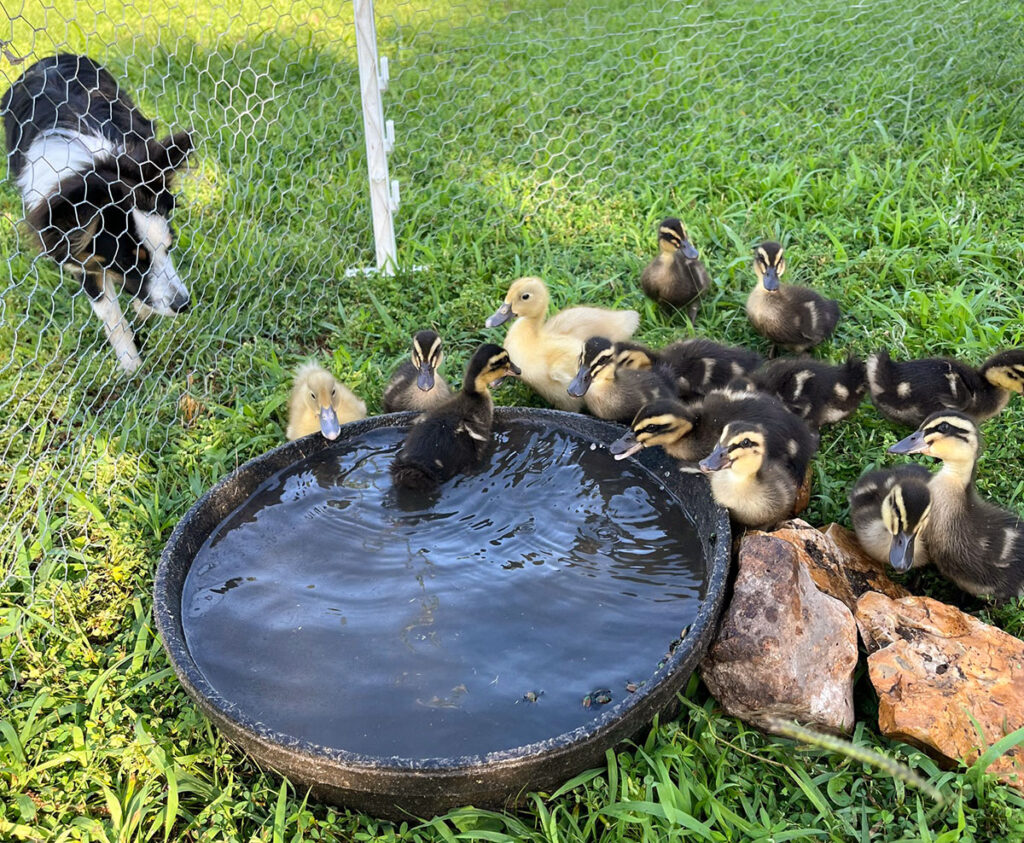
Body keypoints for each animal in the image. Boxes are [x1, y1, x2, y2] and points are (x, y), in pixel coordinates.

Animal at [1, 51, 193, 368]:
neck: (94, 172)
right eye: (129, 262)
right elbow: (110, 312)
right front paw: (131, 366)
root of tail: (51, 57)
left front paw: (143, 311)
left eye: (170, 246)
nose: (184, 305)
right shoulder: (76, 252)